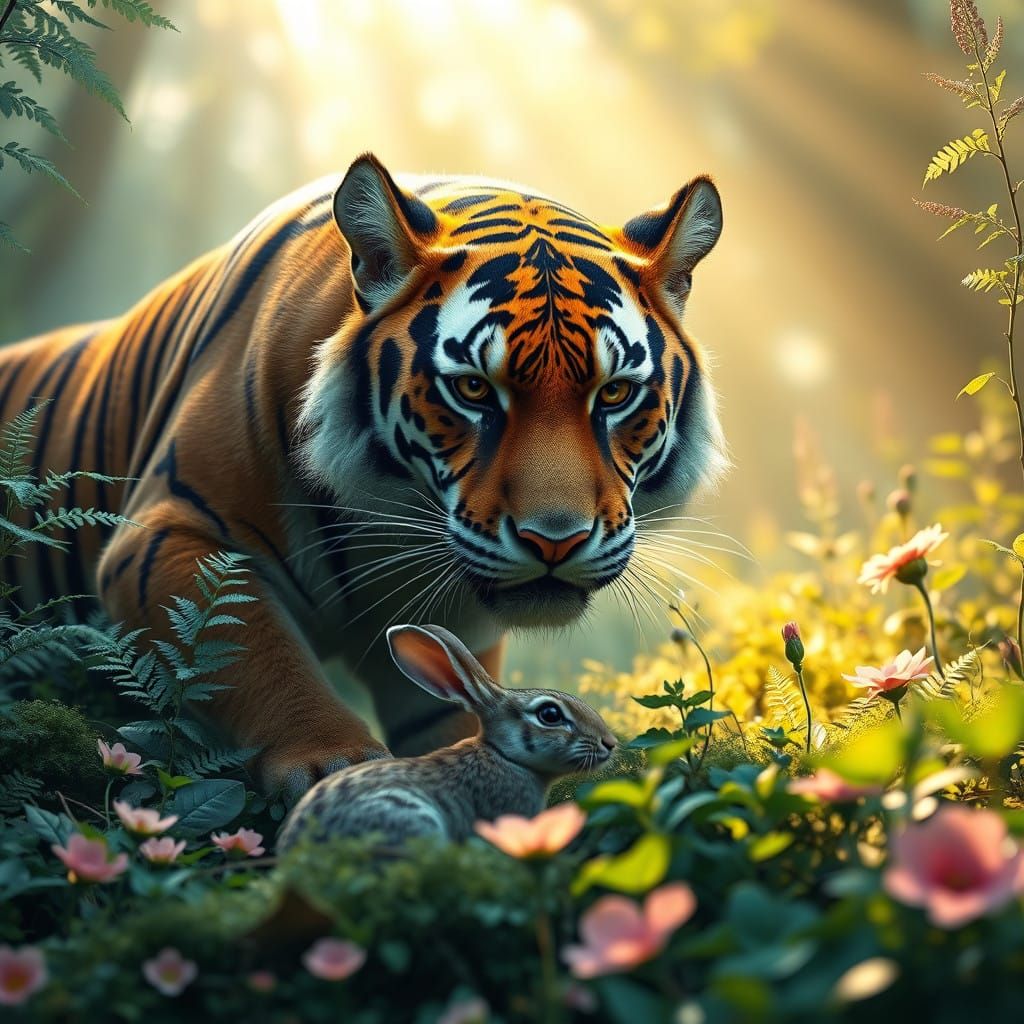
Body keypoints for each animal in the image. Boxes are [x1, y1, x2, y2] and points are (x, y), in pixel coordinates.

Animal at [0, 153, 727, 802]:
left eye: (614, 394)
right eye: (473, 388)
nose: (557, 542)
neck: (389, 521)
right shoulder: (168, 533)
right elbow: (255, 650)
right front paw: (332, 762)